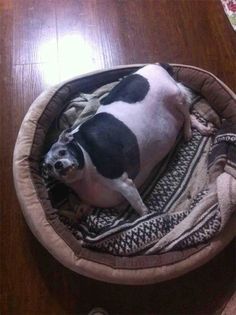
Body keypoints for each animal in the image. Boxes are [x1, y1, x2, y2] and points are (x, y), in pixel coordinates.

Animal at [42, 64, 214, 217]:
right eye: (48, 167)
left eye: (62, 152)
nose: (58, 165)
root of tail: (157, 64)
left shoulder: (125, 184)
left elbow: (140, 209)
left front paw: (145, 217)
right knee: (188, 116)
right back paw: (200, 128)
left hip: (177, 96)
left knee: (186, 113)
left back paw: (188, 131)